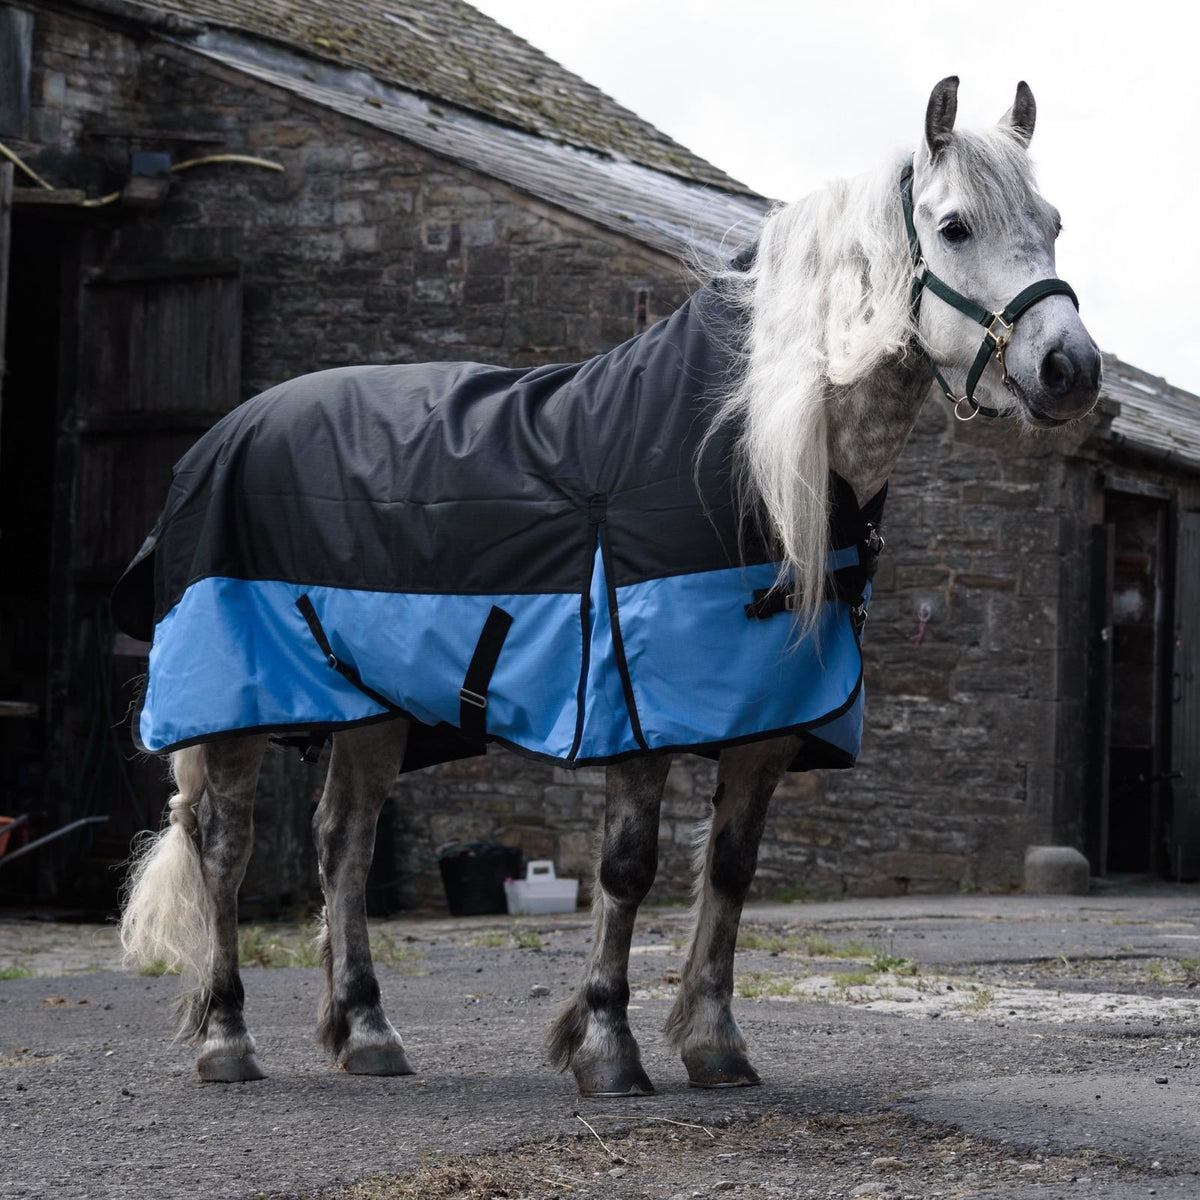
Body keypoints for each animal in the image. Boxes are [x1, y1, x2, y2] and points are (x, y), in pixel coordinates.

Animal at [116, 77, 1101, 1094]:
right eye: (953, 227)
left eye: (1053, 224)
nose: (1071, 370)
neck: (747, 454)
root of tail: (223, 435)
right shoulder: (637, 707)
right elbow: (628, 867)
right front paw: (605, 1045)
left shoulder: (767, 721)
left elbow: (732, 869)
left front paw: (715, 1044)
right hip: (234, 708)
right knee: (224, 847)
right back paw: (228, 1037)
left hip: (370, 711)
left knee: (342, 844)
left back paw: (368, 1032)